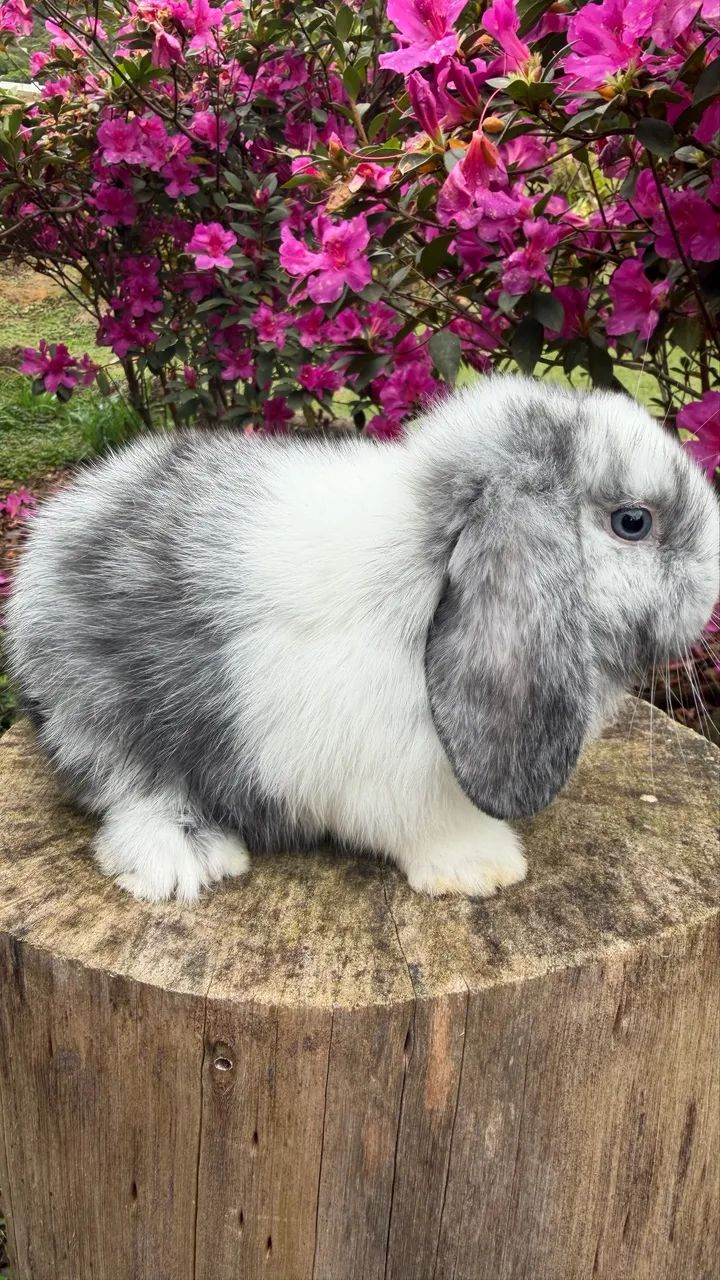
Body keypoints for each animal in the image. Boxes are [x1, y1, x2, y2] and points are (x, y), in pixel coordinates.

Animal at [6, 375, 719, 903]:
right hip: (97, 711)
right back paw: (187, 857)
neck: (431, 566)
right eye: (633, 522)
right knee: (123, 789)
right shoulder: (395, 777)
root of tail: (55, 530)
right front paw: (485, 869)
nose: (712, 586)